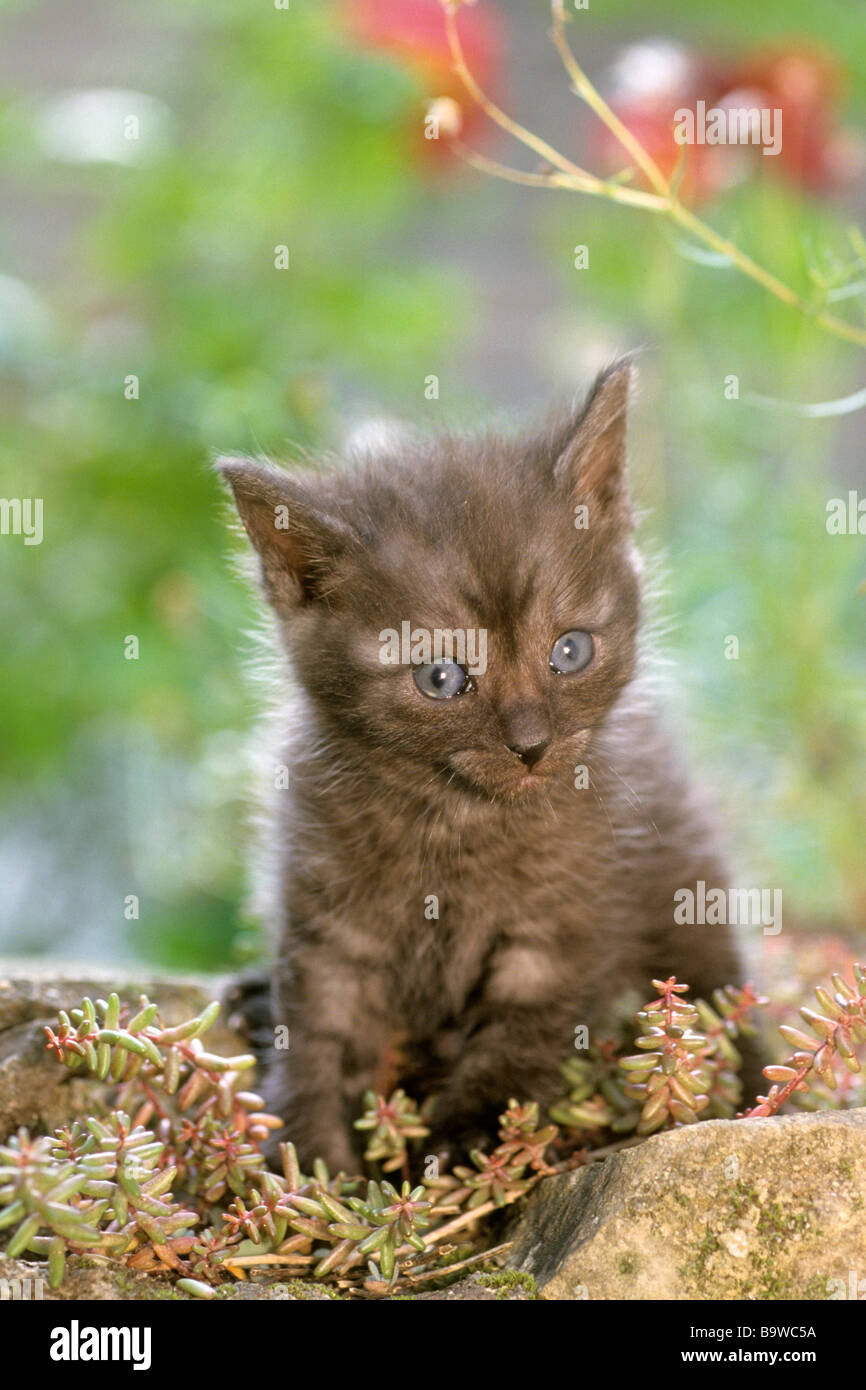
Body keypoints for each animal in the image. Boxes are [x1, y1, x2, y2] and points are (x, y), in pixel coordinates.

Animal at [218, 361, 767, 1173]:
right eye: (441, 678)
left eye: (570, 650)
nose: (532, 745)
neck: (456, 822)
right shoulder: (325, 916)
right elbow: (316, 1028)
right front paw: (310, 1156)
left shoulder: (569, 909)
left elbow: (525, 1023)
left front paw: (474, 1130)